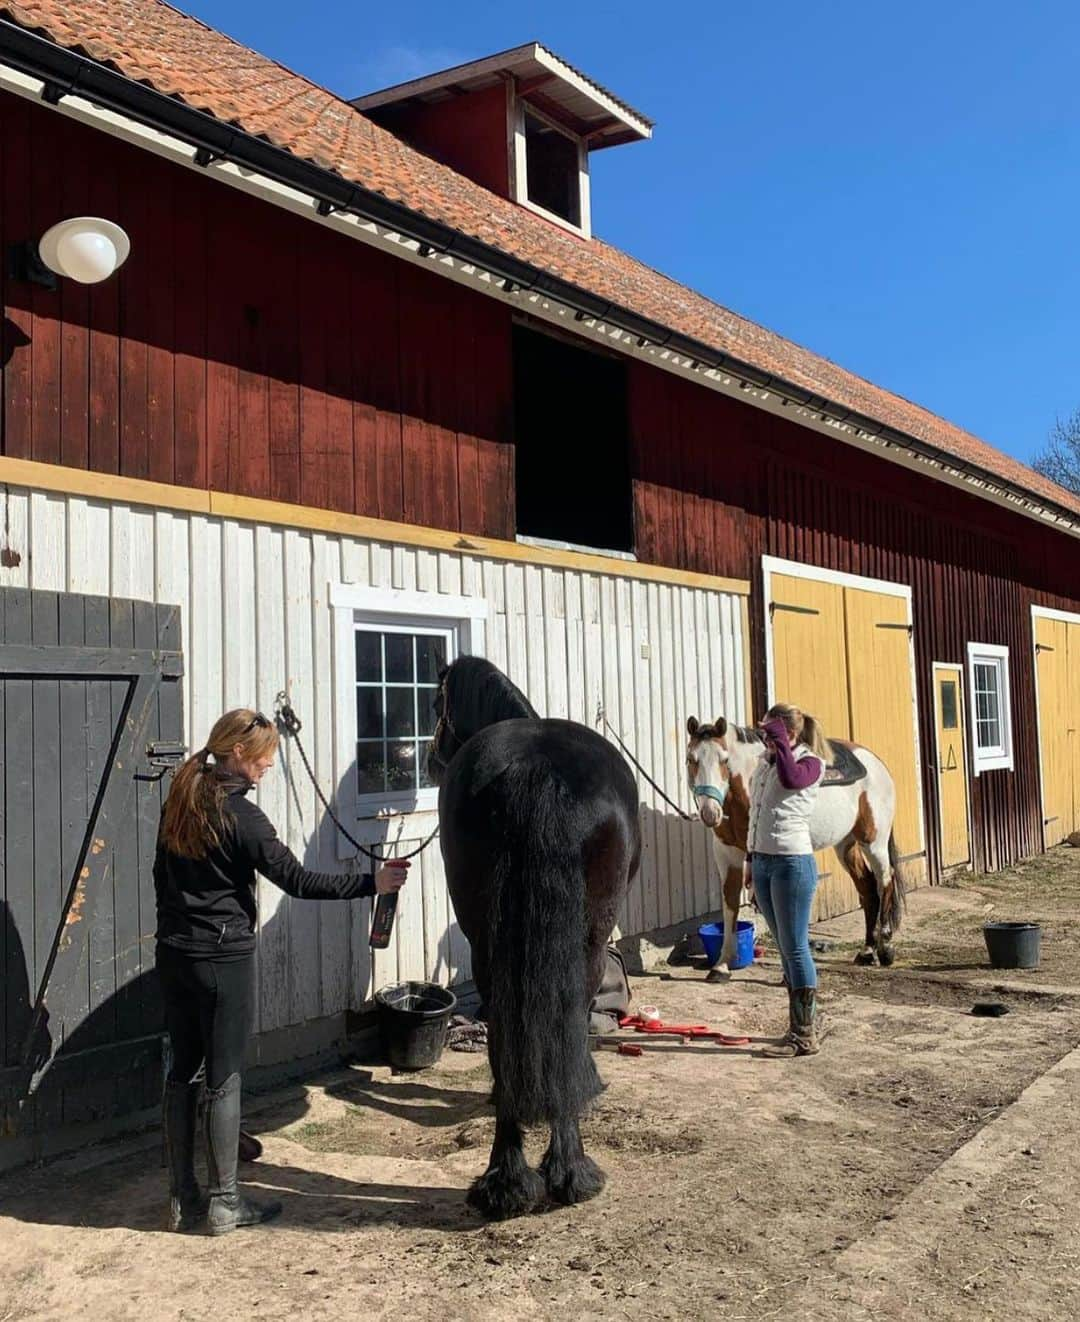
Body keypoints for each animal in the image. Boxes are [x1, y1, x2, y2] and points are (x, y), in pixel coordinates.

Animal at [425, 655, 637, 1221]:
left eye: (434, 704)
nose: (430, 760)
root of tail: (535, 769)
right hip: (587, 942)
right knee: (568, 1017)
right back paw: (565, 1172)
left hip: (490, 947)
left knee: (506, 1032)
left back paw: (509, 1181)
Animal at [687, 719, 904, 978]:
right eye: (691, 759)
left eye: (724, 759)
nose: (710, 813)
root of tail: (876, 762)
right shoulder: (727, 853)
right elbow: (730, 904)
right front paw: (721, 965)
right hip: (846, 844)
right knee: (868, 888)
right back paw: (867, 952)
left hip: (874, 842)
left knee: (885, 881)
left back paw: (886, 949)